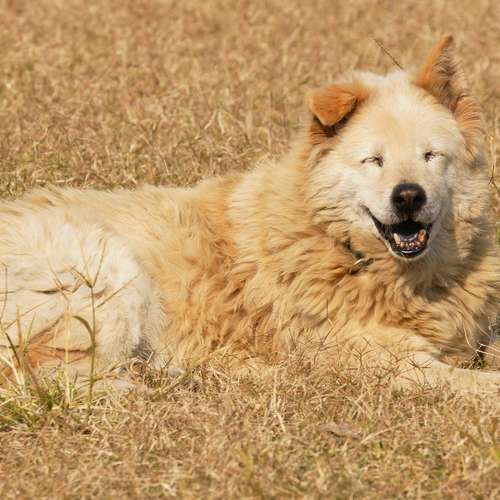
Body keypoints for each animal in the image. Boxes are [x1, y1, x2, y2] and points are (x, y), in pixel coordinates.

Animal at [0, 35, 498, 394]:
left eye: (431, 155)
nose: (408, 196)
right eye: (374, 161)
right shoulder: (386, 362)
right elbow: (478, 386)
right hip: (112, 271)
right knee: (46, 374)